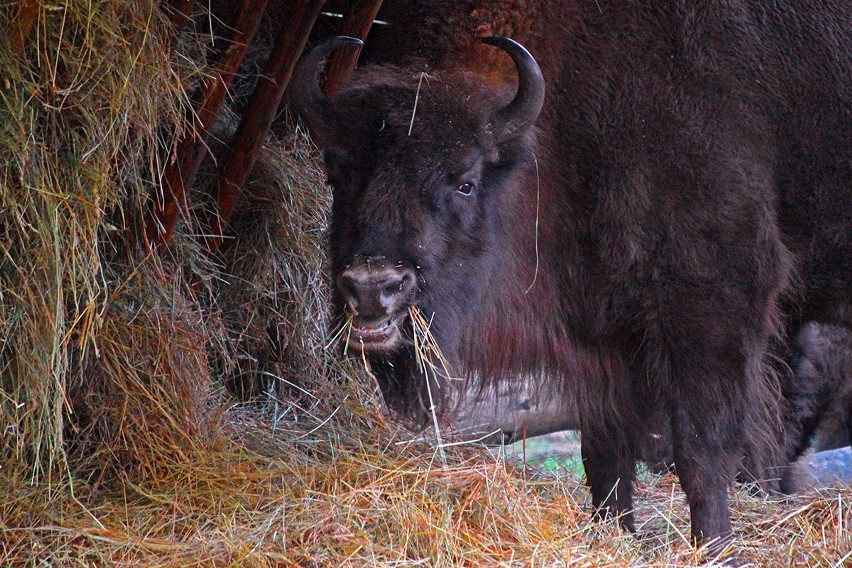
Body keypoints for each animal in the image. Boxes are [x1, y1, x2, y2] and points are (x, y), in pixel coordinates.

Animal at [294, 3, 852, 556]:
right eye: (337, 172)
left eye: (466, 181)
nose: (373, 287)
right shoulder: (607, 334)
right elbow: (605, 456)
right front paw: (613, 534)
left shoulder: (713, 305)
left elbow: (703, 451)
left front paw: (713, 549)